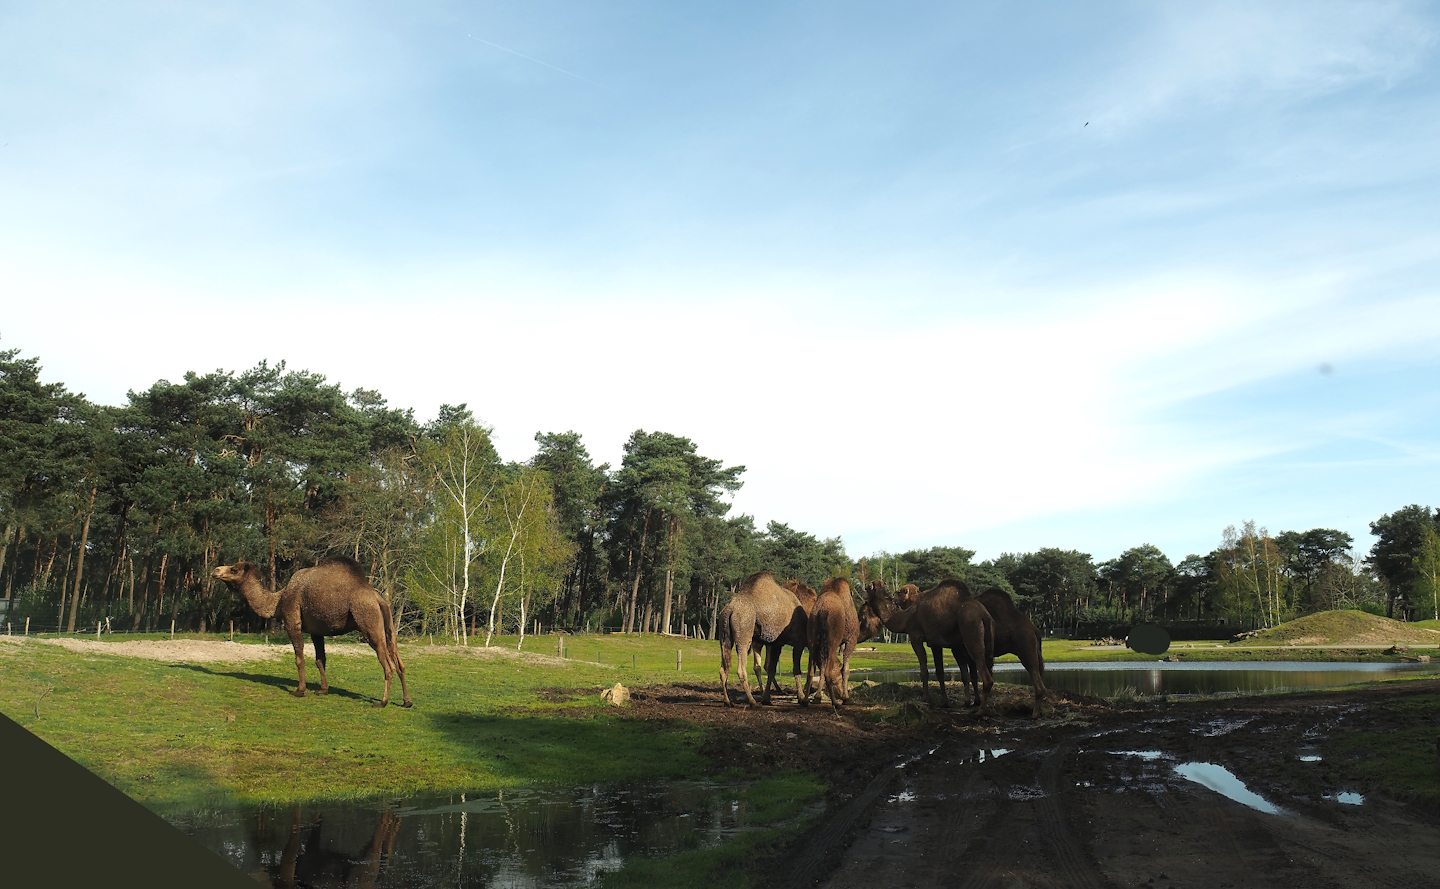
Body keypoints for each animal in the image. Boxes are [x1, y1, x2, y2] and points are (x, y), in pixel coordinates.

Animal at [212, 557, 412, 708]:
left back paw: (382, 702)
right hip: (388, 626)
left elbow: (299, 657)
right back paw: (406, 701)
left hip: (368, 620)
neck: (278, 600)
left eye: (234, 569)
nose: (215, 570)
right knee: (399, 661)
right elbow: (320, 660)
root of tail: (378, 599)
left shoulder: (292, 619)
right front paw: (323, 690)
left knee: (388, 665)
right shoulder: (317, 630)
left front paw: (300, 690)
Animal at [717, 571, 807, 707]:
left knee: (724, 669)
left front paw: (766, 697)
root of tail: (730, 609)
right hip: (744, 633)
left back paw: (728, 701)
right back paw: (752, 701)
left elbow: (766, 667)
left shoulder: (768, 642)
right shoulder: (792, 642)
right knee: (741, 669)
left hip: (724, 637)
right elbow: (790, 669)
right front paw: (800, 697)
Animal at [802, 577, 861, 710]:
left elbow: (821, 668)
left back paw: (805, 701)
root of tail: (822, 611)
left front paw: (817, 697)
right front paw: (846, 698)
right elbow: (845, 670)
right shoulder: (850, 640)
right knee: (828, 671)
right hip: (832, 642)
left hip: (813, 639)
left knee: (811, 671)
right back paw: (835, 703)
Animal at [866, 579, 994, 709]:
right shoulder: (936, 643)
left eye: (868, 588)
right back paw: (976, 703)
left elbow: (924, 671)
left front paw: (925, 698)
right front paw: (944, 702)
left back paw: (979, 710)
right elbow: (940, 672)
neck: (906, 617)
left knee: (983, 670)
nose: (894, 594)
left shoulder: (917, 638)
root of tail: (984, 615)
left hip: (970, 629)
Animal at [895, 582, 1048, 718]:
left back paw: (1034, 713)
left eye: (901, 591)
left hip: (1024, 645)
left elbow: (967, 674)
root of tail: (1035, 629)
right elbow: (973, 675)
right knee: (1039, 670)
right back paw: (1038, 711)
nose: (894, 595)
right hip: (1035, 650)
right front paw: (975, 701)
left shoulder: (958, 649)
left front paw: (969, 702)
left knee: (1033, 670)